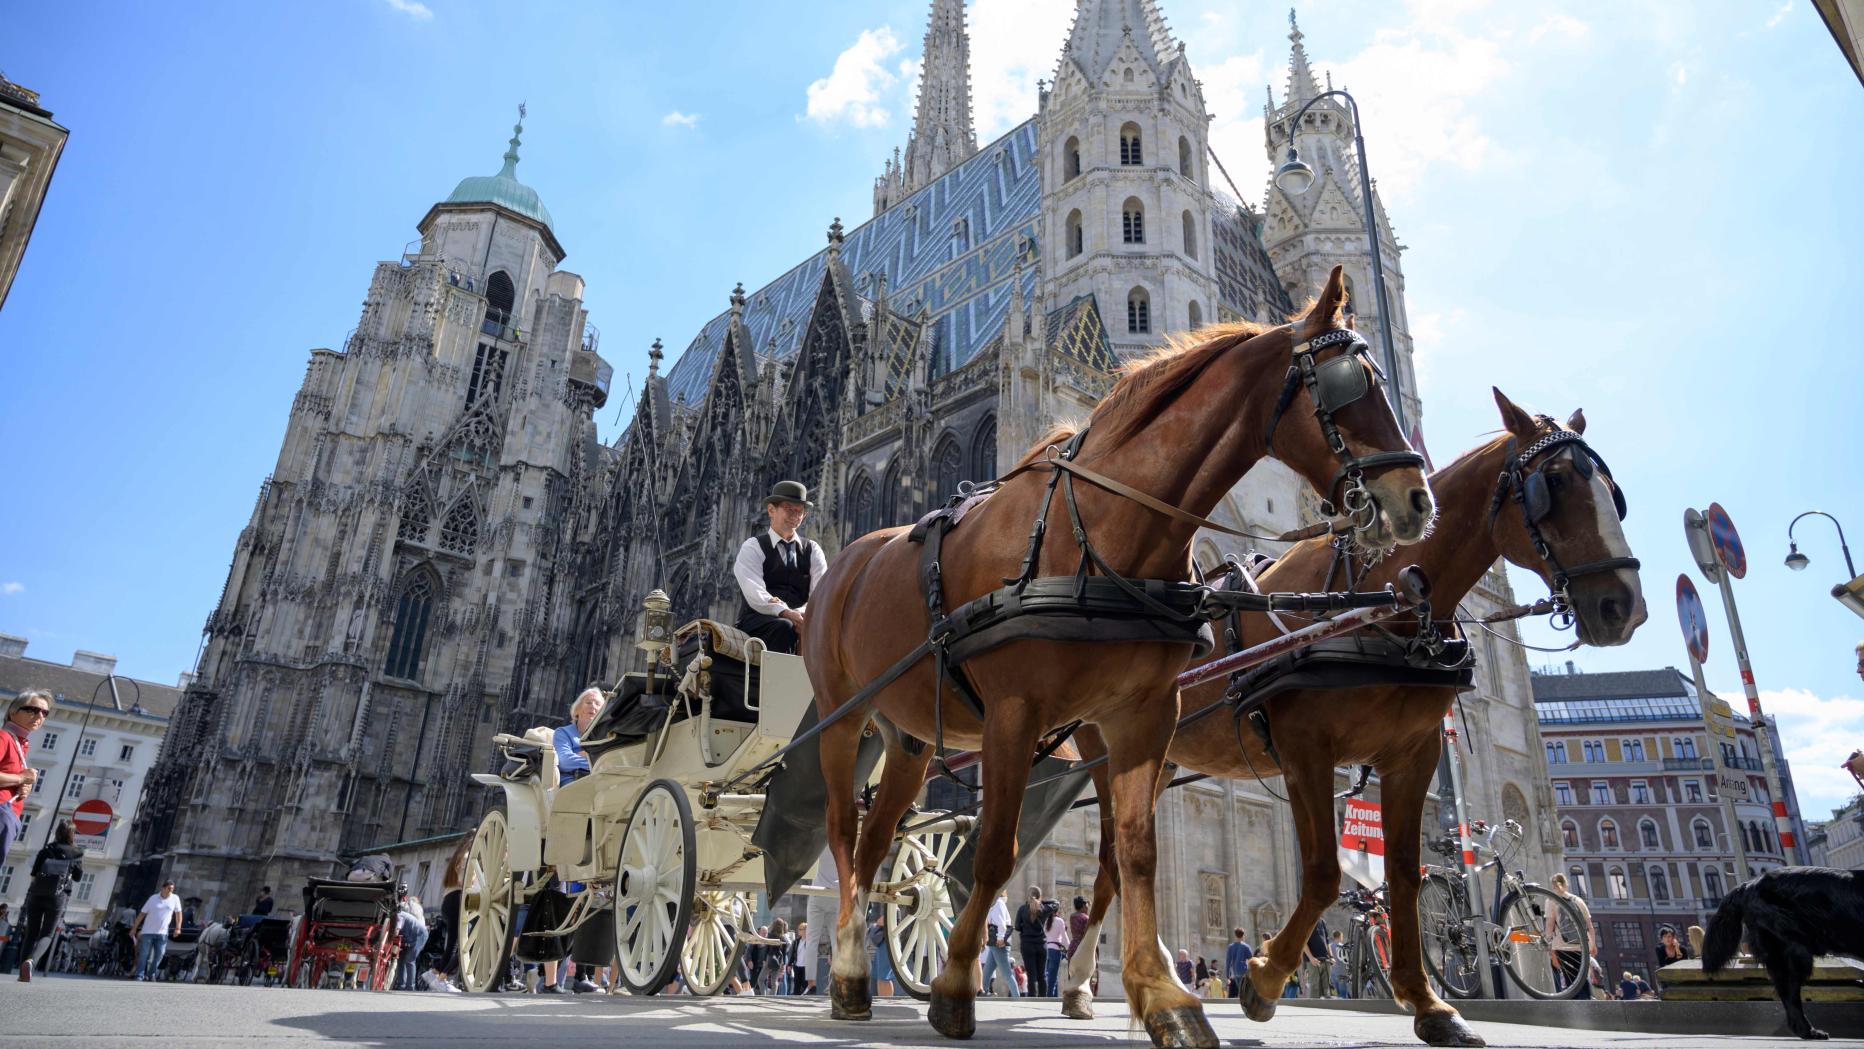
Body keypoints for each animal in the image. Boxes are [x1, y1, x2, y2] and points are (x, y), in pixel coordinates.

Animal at [808, 266, 1431, 1043]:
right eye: (1350, 382)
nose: (1417, 500)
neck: (1100, 529)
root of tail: (846, 557)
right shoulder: (1014, 714)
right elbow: (995, 850)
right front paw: (955, 987)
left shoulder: (1140, 718)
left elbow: (1134, 851)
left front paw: (1167, 997)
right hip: (841, 717)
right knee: (842, 831)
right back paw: (849, 970)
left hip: (912, 735)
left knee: (875, 840)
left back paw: (855, 975)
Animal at [1066, 389, 1647, 1043]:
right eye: (1553, 483)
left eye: (1614, 492)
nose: (1624, 606)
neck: (1382, 602)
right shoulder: (1304, 749)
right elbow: (1321, 873)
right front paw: (1263, 977)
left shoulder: (1413, 754)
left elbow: (1404, 876)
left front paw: (1429, 1003)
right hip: (1102, 750)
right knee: (1110, 858)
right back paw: (1098, 981)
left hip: (1159, 758)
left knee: (1120, 860)